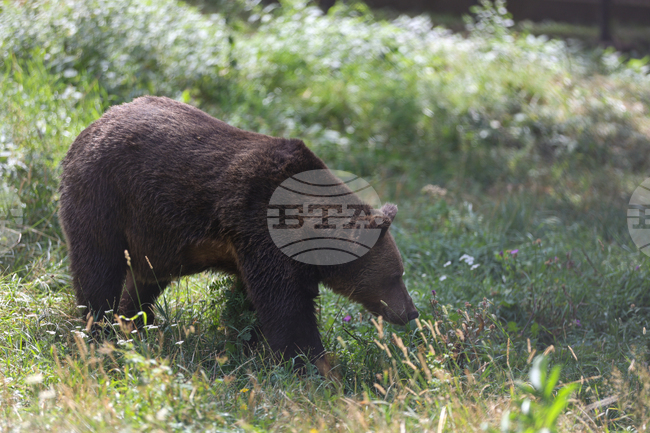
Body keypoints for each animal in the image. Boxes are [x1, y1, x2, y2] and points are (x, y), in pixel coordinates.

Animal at [58, 96, 418, 376]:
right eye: (395, 275)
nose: (411, 311)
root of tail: (91, 125)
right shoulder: (259, 227)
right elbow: (286, 310)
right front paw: (316, 367)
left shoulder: (257, 250)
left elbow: (249, 304)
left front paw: (245, 345)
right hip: (106, 198)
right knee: (98, 269)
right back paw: (98, 329)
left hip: (153, 235)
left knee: (144, 281)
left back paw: (131, 321)